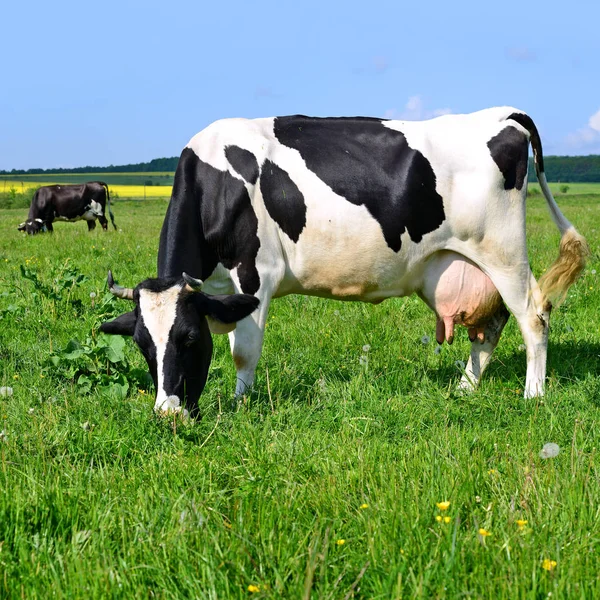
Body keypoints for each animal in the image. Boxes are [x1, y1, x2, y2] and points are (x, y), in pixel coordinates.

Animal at [101, 108, 588, 418]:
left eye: (187, 338)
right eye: (143, 345)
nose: (168, 413)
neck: (216, 181)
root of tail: (503, 114)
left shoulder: (255, 275)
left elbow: (244, 352)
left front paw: (241, 406)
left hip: (503, 251)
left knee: (533, 316)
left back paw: (533, 395)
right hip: (458, 264)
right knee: (490, 326)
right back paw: (465, 388)